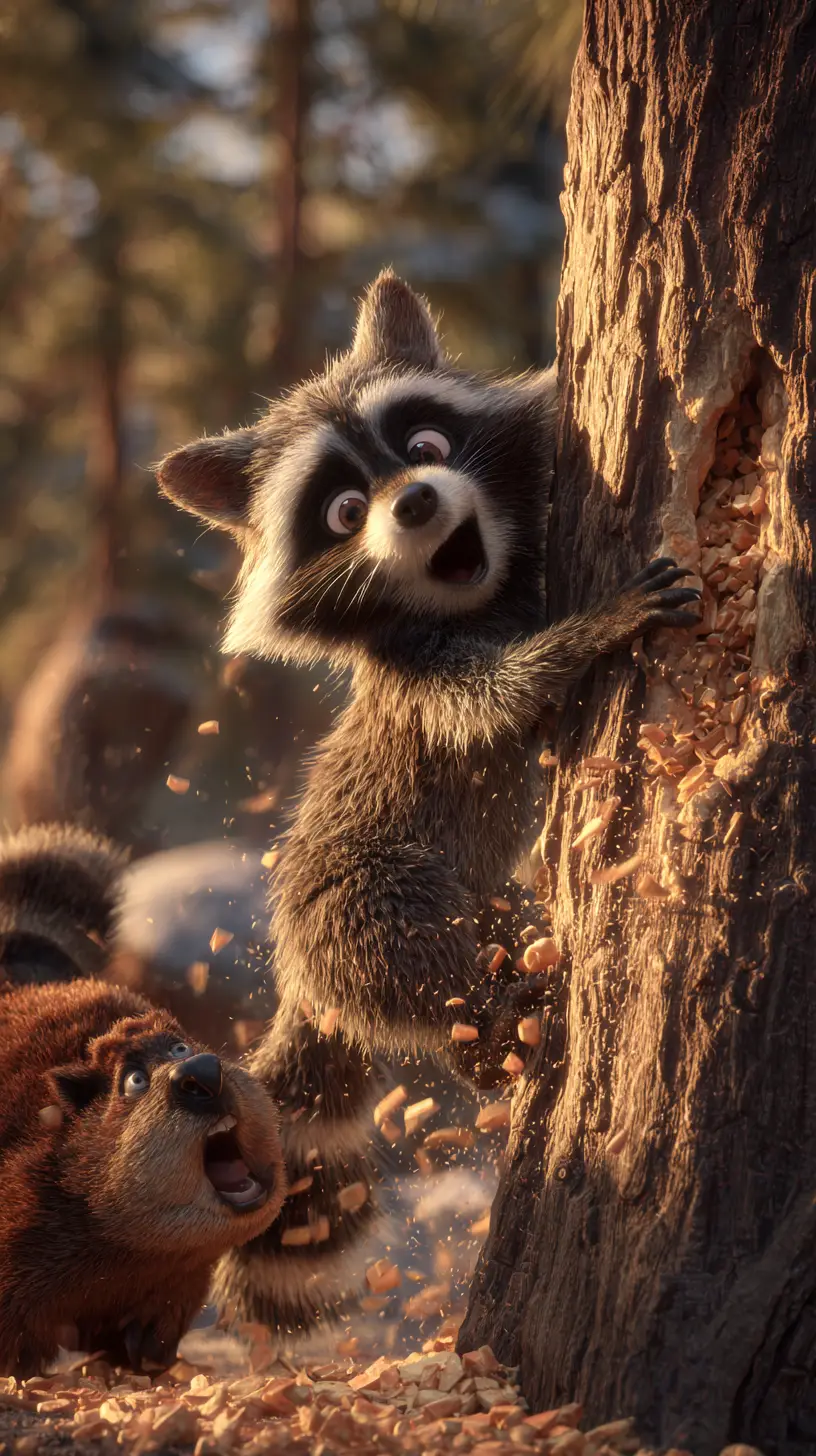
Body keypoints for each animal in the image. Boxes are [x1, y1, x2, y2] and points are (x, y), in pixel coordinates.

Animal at [157, 272, 701, 1325]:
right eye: (342, 510)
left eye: (424, 448)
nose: (411, 501)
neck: (477, 589)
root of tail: (300, 978)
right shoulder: (424, 677)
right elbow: (505, 695)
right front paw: (591, 630)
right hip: (351, 895)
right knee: (410, 942)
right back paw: (488, 1023)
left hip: (488, 901)